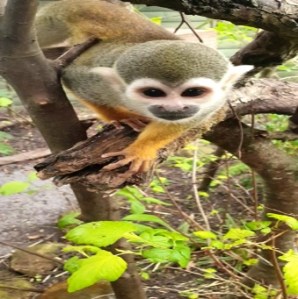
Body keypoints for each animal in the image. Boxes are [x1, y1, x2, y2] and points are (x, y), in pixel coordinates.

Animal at [35, 0, 254, 177]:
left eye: (193, 92)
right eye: (153, 93)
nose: (174, 108)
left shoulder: (213, 103)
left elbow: (183, 122)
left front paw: (141, 149)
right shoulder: (96, 80)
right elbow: (71, 78)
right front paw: (121, 117)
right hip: (52, 19)